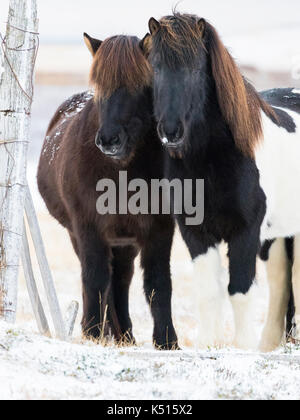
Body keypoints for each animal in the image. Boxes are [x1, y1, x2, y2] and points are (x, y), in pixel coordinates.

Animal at [37, 32, 178, 350]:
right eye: (99, 87)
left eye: (139, 86)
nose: (109, 140)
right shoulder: (89, 228)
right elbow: (95, 279)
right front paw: (92, 332)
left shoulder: (159, 230)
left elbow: (158, 283)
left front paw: (167, 340)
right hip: (82, 236)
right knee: (105, 280)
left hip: (125, 242)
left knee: (121, 281)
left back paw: (124, 335)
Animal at [142, 12, 300, 348]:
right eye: (156, 66)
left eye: (196, 68)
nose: (170, 131)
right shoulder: (196, 233)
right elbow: (208, 291)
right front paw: (207, 343)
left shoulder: (246, 231)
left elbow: (239, 290)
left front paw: (243, 347)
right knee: (283, 280)